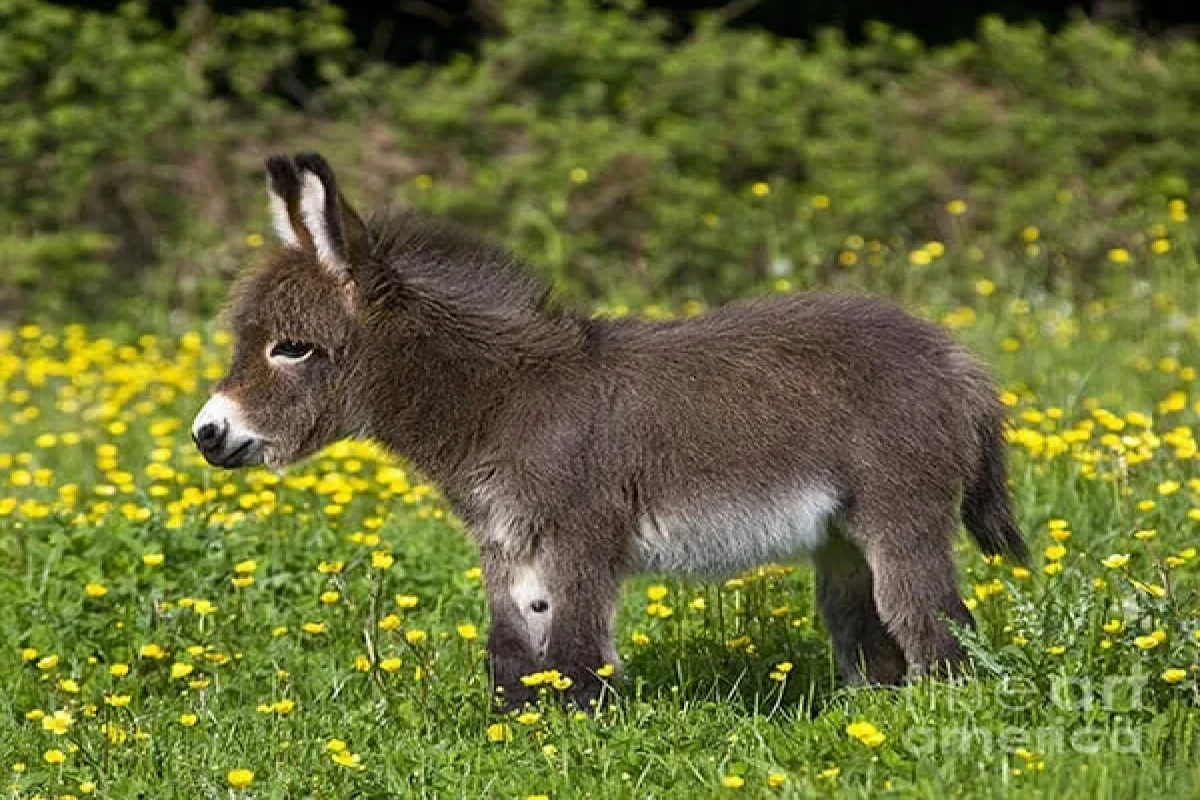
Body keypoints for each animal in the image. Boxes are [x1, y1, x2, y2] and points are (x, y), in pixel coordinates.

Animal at [192, 153, 1027, 710]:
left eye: (292, 348)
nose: (207, 433)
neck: (503, 401)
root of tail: (954, 358)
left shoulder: (580, 535)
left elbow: (575, 652)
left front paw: (577, 730)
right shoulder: (506, 542)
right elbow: (512, 651)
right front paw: (518, 731)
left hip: (900, 514)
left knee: (935, 627)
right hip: (842, 536)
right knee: (870, 636)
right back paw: (867, 720)